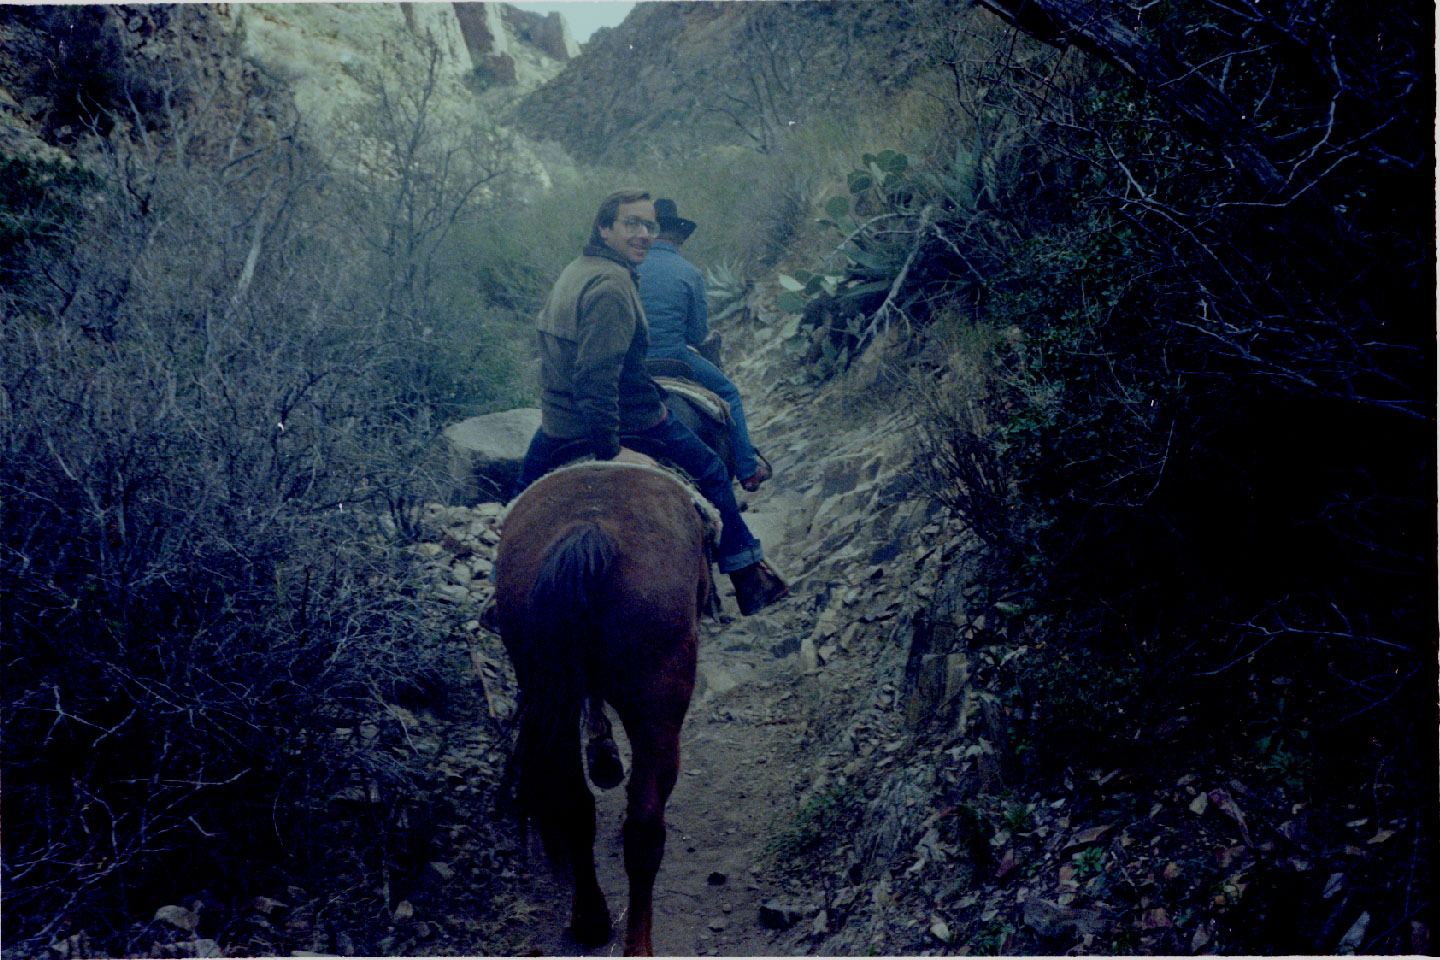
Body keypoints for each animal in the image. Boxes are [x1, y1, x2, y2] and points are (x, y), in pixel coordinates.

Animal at [495, 460, 720, 955]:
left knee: (573, 802)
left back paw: (590, 919)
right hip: (658, 705)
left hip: (549, 694)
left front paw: (603, 753)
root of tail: (589, 530)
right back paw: (638, 944)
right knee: (644, 829)